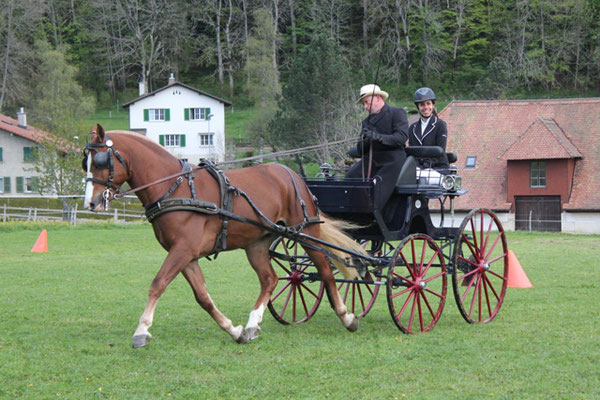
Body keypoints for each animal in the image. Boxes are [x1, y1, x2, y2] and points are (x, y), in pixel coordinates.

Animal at [84, 125, 366, 346]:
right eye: (84, 161)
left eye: (100, 161)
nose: (92, 202)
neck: (175, 188)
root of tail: (291, 174)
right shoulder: (187, 256)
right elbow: (203, 297)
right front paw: (234, 330)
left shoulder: (182, 250)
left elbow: (158, 284)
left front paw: (141, 330)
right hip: (257, 244)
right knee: (270, 279)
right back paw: (252, 324)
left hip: (306, 232)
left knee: (326, 272)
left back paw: (347, 317)